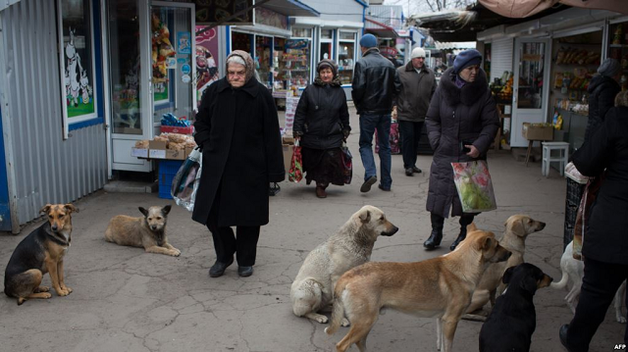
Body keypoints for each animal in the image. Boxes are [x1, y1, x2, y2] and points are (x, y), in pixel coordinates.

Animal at [324, 226, 510, 352]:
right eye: (497, 245)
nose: (510, 253)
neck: (462, 266)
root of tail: (348, 275)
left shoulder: (441, 320)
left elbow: (441, 344)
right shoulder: (451, 321)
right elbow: (448, 346)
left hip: (366, 322)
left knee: (359, 342)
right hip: (365, 321)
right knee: (342, 345)